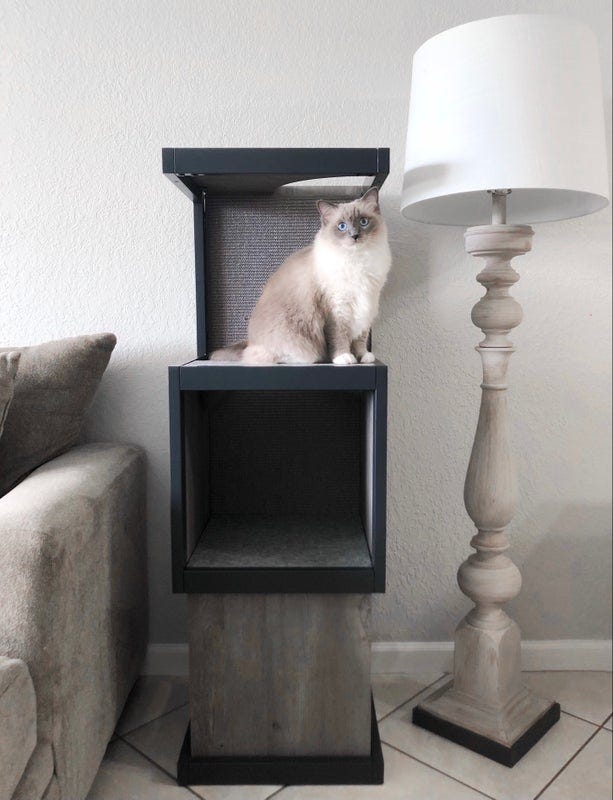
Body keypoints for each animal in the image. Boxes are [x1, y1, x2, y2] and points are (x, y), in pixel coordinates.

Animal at [210, 187, 391, 364]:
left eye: (363, 222)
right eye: (341, 226)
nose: (355, 236)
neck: (357, 260)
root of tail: (249, 341)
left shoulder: (367, 304)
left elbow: (360, 340)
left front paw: (364, 357)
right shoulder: (337, 310)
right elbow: (339, 338)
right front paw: (344, 358)